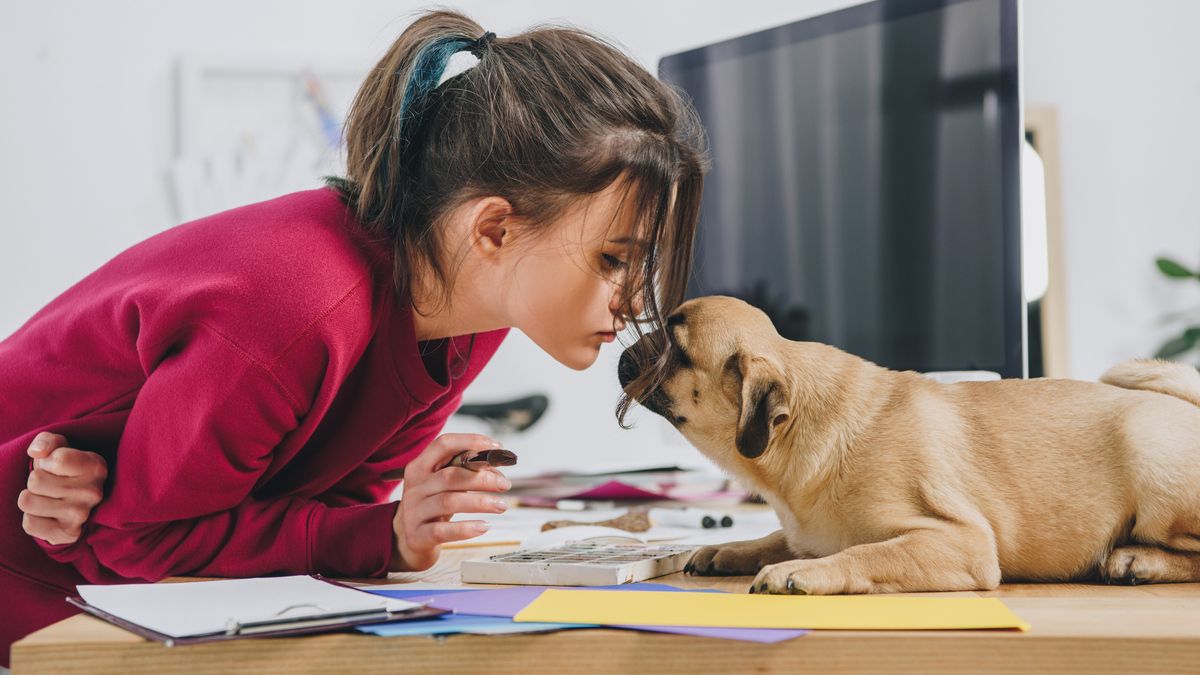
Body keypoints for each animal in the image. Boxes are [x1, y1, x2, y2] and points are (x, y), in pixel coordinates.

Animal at [619, 296, 1200, 590]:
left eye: (674, 349)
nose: (628, 347)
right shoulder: (805, 529)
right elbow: (777, 537)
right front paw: (731, 550)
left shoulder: (958, 543)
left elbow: (865, 553)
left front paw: (800, 572)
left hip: (1151, 460)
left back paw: (1136, 560)